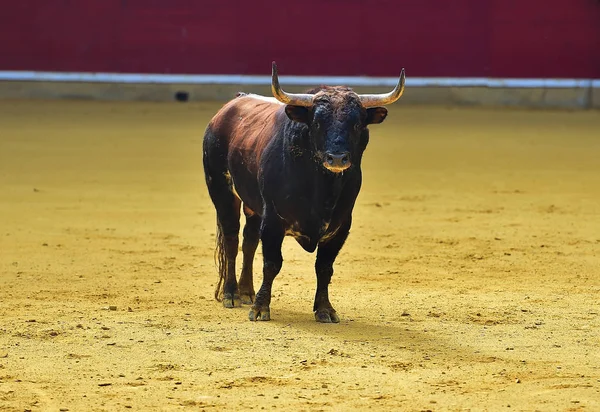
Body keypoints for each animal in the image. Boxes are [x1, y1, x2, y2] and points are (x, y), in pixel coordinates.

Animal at [204, 62, 406, 322]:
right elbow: (272, 263)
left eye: (356, 124)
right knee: (231, 239)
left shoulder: (340, 226)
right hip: (222, 192)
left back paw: (246, 291)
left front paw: (325, 309)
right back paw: (231, 294)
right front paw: (260, 308)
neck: (321, 189)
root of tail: (229, 107)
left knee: (249, 241)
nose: (337, 158)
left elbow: (324, 267)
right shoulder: (273, 221)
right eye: (318, 122)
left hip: (254, 206)